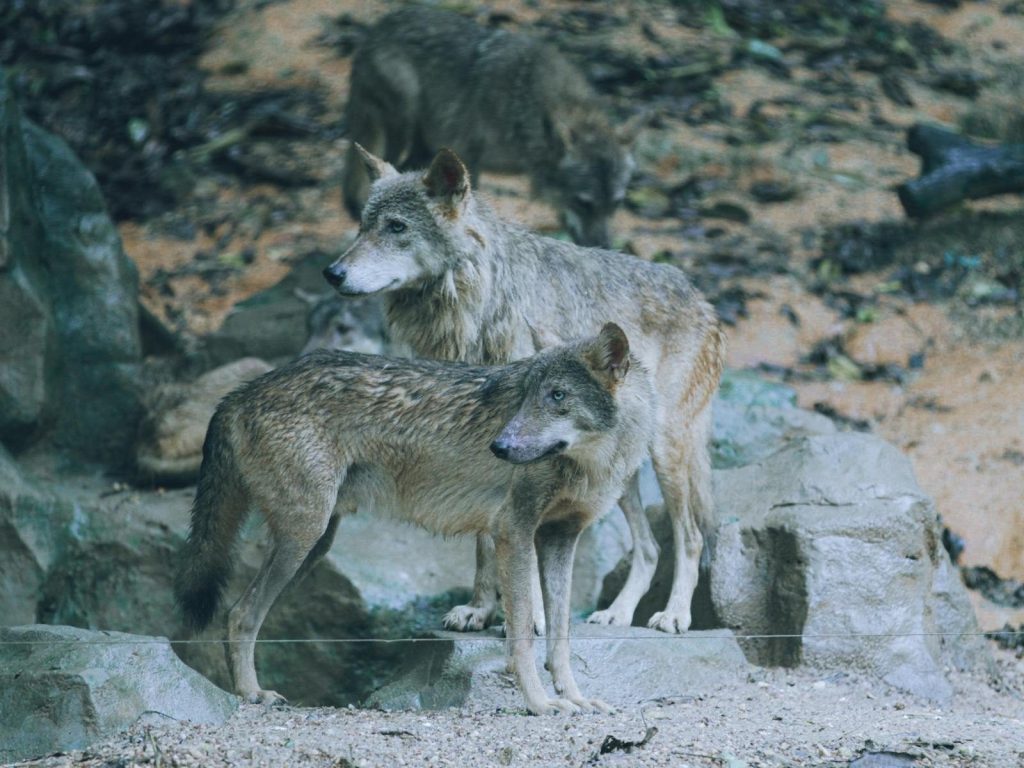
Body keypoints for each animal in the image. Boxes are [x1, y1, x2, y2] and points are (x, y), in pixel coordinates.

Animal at [174, 324, 652, 715]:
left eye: (557, 396)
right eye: (526, 396)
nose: (499, 447)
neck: (593, 461)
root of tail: (242, 391)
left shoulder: (559, 537)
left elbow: (561, 637)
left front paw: (575, 698)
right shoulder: (513, 532)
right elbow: (523, 634)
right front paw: (540, 704)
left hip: (313, 545)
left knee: (242, 612)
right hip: (303, 538)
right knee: (239, 614)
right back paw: (252, 695)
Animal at [323, 147, 724, 636]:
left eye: (397, 226)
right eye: (363, 225)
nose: (332, 273)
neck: (477, 302)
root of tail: (702, 297)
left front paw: (530, 618)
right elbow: (484, 539)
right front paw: (480, 610)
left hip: (665, 453)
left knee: (691, 536)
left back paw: (674, 614)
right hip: (617, 471)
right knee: (649, 548)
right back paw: (616, 614)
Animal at [341, 6, 642, 247]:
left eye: (616, 204)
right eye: (584, 203)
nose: (603, 246)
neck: (524, 107)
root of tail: (373, 33)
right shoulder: (468, 157)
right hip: (404, 124)